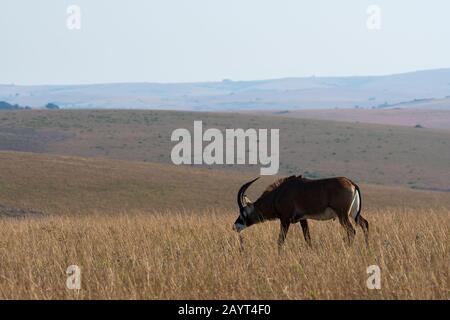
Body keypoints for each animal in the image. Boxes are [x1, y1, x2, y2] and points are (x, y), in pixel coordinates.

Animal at [232, 176, 370, 251]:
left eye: (243, 213)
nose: (234, 227)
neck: (278, 194)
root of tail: (351, 183)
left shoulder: (285, 220)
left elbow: (280, 240)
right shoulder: (303, 219)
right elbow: (307, 238)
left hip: (343, 215)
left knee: (351, 230)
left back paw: (348, 249)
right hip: (353, 214)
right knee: (365, 224)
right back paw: (367, 249)